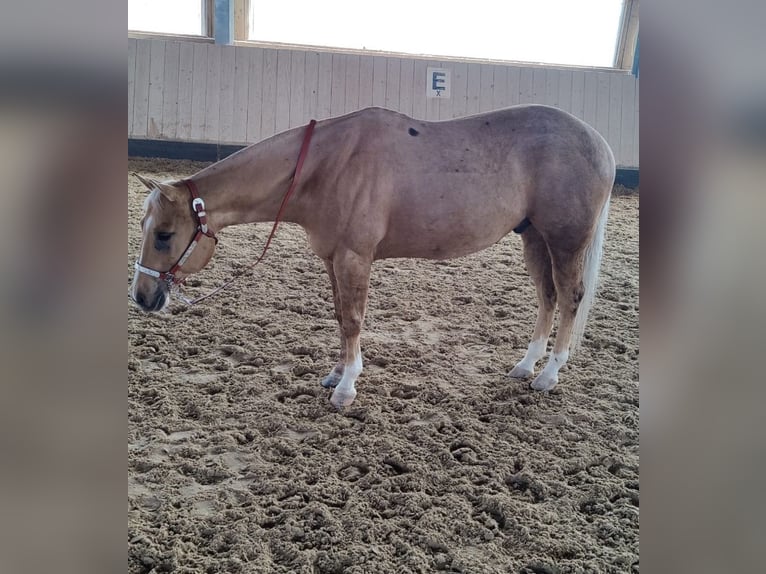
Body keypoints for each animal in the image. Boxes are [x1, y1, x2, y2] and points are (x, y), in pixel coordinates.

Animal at [130, 104, 612, 410]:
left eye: (165, 235)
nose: (142, 296)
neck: (326, 165)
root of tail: (599, 143)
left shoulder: (353, 258)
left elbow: (353, 320)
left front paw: (345, 388)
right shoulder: (331, 259)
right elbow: (339, 315)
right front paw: (336, 372)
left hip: (564, 241)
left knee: (570, 297)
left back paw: (549, 376)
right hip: (535, 239)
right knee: (547, 297)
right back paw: (526, 366)